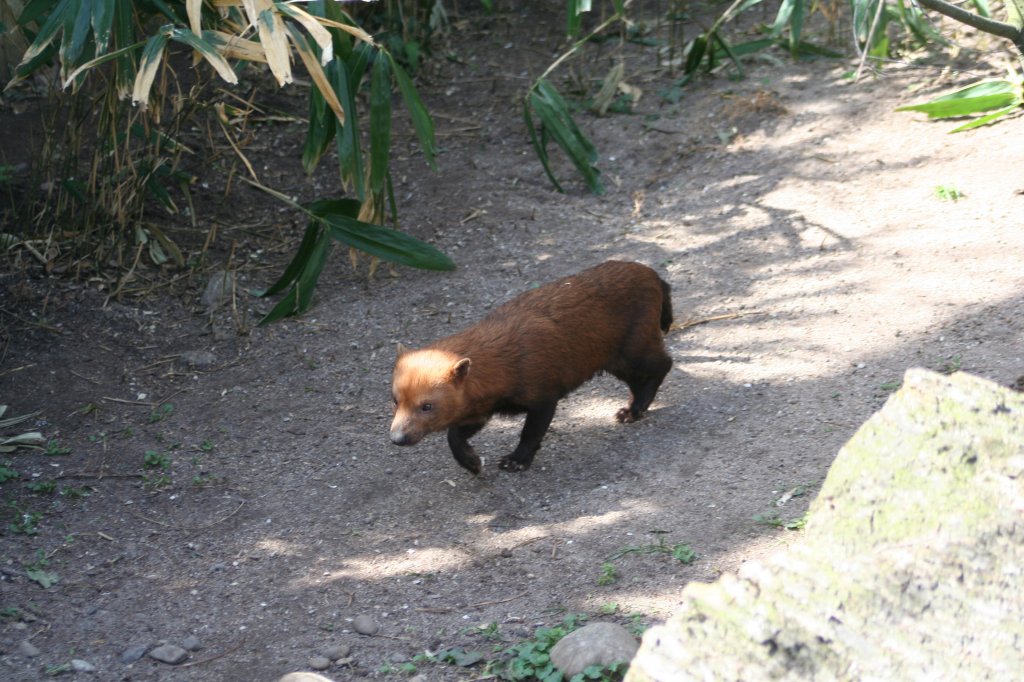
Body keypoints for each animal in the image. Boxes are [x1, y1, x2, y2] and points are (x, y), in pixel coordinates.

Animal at [385, 260, 671, 473]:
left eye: (427, 405)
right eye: (395, 400)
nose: (397, 438)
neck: (504, 363)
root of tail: (654, 276)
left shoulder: (544, 395)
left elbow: (531, 432)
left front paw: (515, 460)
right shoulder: (482, 409)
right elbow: (454, 434)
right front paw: (472, 463)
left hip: (634, 349)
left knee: (664, 364)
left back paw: (633, 410)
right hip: (615, 361)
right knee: (640, 380)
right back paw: (630, 410)